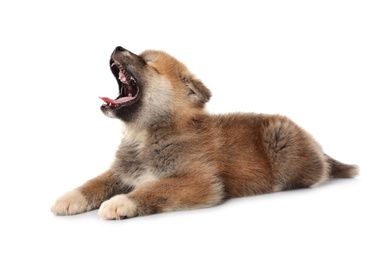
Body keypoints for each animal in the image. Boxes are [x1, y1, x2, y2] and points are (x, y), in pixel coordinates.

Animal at [51, 46, 360, 219]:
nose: (117, 46)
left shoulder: (199, 180)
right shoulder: (121, 172)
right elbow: (94, 182)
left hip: (281, 139)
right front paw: (70, 197)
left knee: (316, 173)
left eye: (149, 62)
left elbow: (155, 188)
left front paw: (121, 202)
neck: (145, 134)